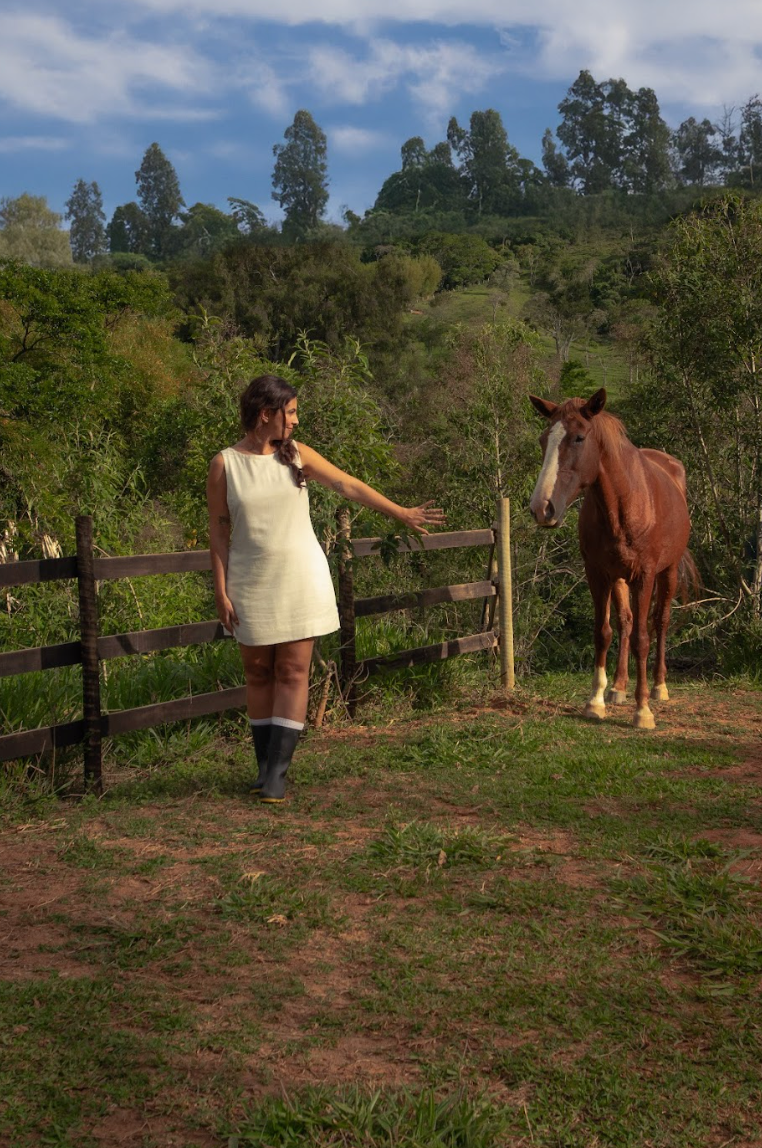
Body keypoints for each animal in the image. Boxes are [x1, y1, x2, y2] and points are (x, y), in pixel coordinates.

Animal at [527, 385, 693, 725]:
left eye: (579, 438)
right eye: (543, 439)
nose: (542, 508)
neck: (624, 502)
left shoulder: (644, 576)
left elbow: (643, 638)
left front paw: (643, 710)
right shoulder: (597, 574)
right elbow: (603, 633)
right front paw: (596, 700)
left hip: (667, 573)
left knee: (660, 622)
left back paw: (659, 686)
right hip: (619, 578)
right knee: (625, 622)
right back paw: (618, 688)